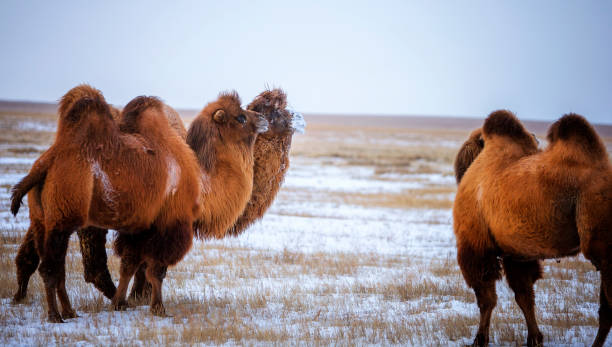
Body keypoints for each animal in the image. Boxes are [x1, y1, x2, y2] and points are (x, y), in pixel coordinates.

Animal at [10, 85, 203, 324]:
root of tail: (45, 163)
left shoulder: (140, 226)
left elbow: (130, 265)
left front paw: (120, 303)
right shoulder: (168, 222)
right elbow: (156, 270)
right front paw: (158, 308)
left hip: (41, 220)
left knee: (56, 267)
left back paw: (69, 312)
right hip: (62, 219)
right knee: (50, 268)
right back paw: (56, 315)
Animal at [454, 111, 612, 347]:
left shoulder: (476, 246)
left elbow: (486, 299)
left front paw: (479, 340)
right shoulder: (515, 252)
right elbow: (524, 296)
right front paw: (534, 338)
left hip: (603, 245)